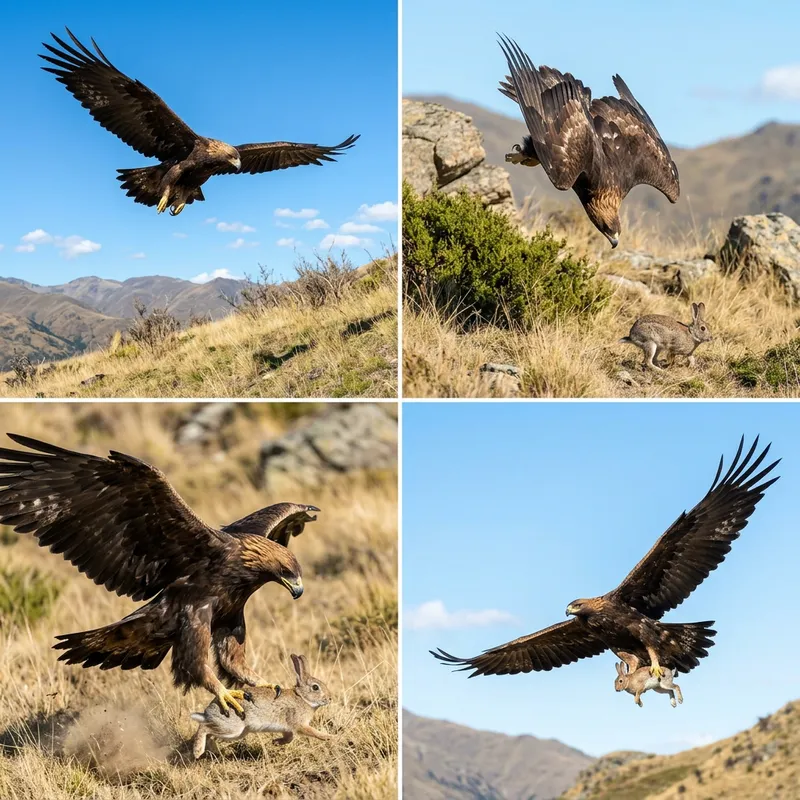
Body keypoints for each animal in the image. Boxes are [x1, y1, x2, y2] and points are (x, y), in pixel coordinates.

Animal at [190, 654, 332, 759]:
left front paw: (276, 742)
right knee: (204, 728)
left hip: (237, 733)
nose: (330, 698)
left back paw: (213, 751)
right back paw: (197, 751)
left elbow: (289, 738)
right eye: (315, 687)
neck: (303, 698)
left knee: (209, 733)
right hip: (232, 727)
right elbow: (310, 732)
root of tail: (208, 712)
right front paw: (328, 737)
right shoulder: (299, 724)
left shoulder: (287, 728)